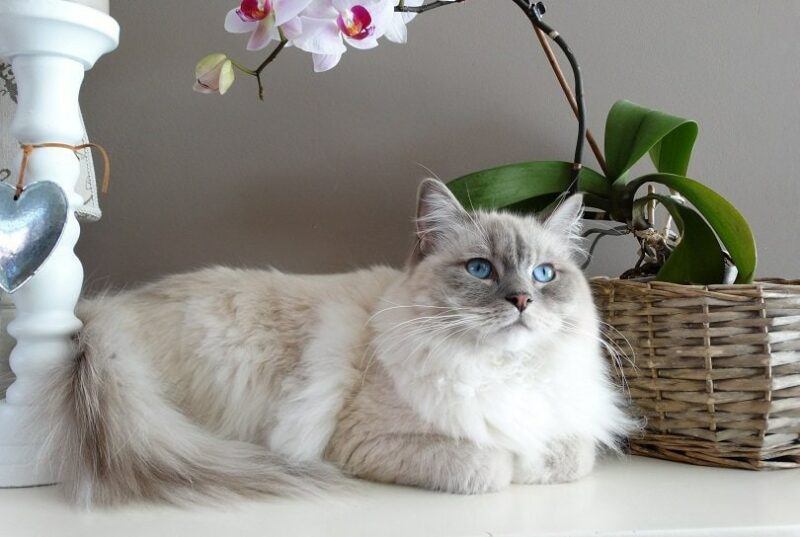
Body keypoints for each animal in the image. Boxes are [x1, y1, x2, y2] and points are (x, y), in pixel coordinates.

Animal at [42, 178, 632, 504]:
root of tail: (106, 311)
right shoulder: (363, 442)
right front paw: (513, 464)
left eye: (544, 275)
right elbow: (492, 464)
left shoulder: (564, 434)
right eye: (481, 269)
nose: (522, 301)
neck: (500, 372)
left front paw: (534, 462)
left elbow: (566, 456)